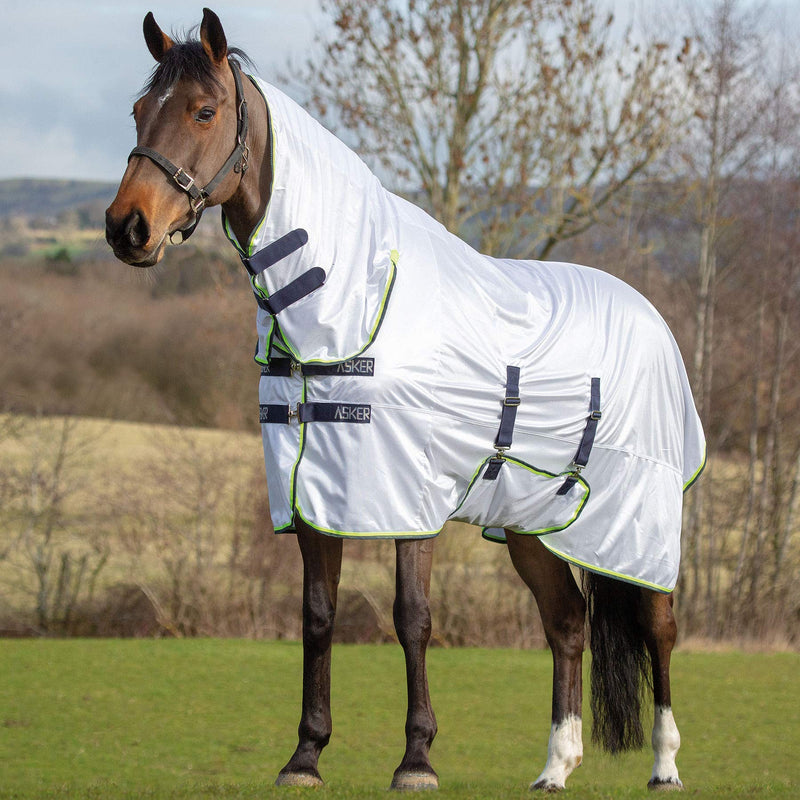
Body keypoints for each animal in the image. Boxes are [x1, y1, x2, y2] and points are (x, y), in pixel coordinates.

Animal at [106, 9, 704, 792]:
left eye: (204, 111)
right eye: (140, 110)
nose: (128, 228)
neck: (352, 296)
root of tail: (652, 317)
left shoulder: (409, 493)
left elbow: (411, 616)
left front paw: (416, 760)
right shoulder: (311, 491)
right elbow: (318, 615)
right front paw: (305, 757)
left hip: (642, 517)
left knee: (659, 627)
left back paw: (664, 765)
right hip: (532, 524)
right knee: (567, 624)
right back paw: (555, 767)